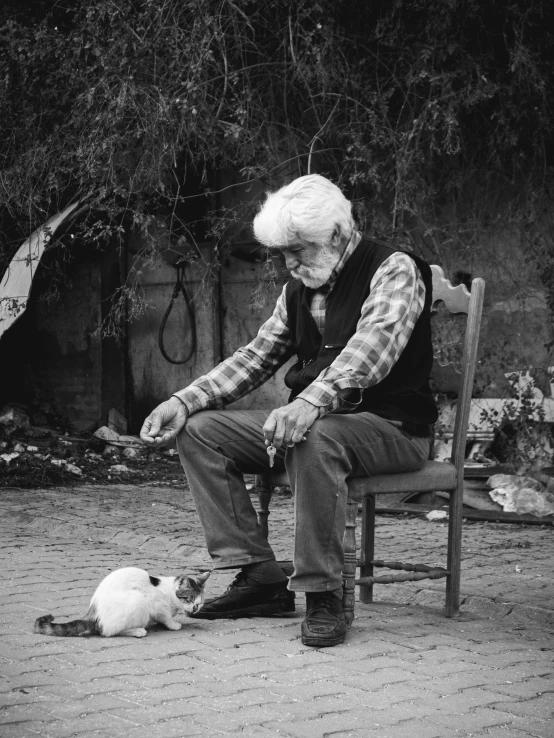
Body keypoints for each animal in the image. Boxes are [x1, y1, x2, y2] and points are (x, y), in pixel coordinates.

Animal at [33, 568, 209, 636]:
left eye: (199, 602)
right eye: (189, 599)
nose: (194, 609)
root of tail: (93, 614)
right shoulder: (156, 605)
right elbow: (166, 617)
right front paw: (173, 625)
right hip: (138, 600)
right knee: (108, 631)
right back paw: (138, 630)